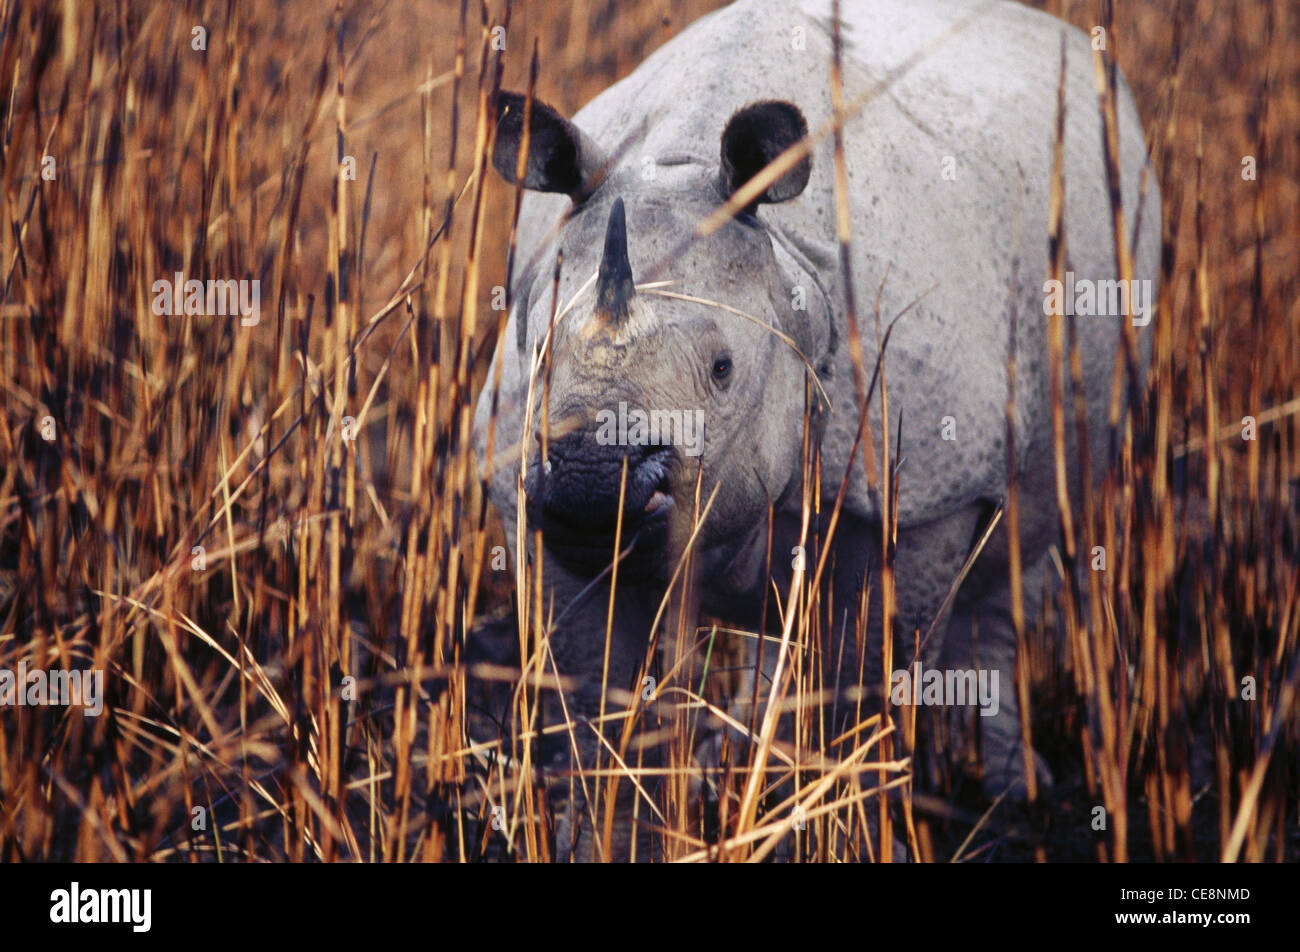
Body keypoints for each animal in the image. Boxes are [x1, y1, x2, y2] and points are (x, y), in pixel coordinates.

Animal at [467, 0, 1159, 863]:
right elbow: (595, 699)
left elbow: (861, 691)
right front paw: (602, 843)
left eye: (723, 369)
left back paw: (1011, 793)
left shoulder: (920, 491)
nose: (596, 481)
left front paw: (849, 832)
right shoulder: (530, 497)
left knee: (1021, 546)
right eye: (537, 354)